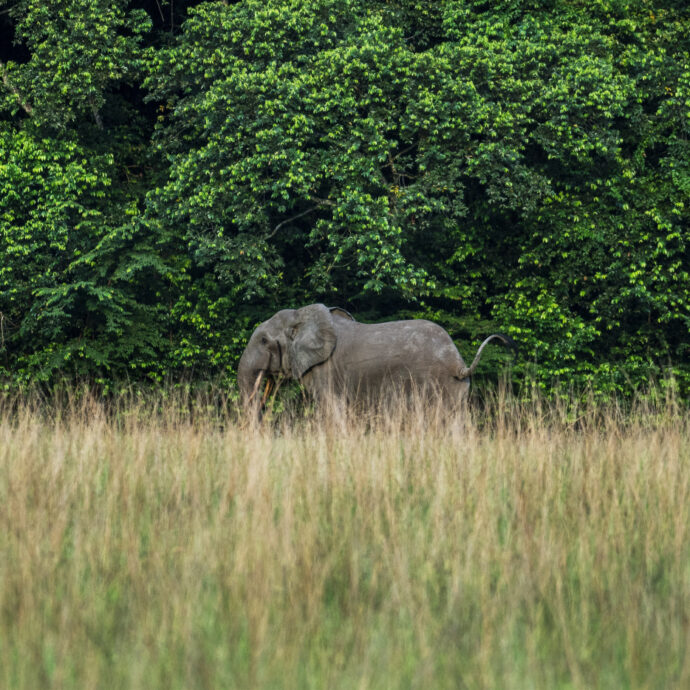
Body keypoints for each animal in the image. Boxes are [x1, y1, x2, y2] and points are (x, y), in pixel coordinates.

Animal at [237, 304, 515, 415]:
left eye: (263, 341)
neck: (302, 315)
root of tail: (459, 363)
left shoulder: (326, 371)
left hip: (435, 385)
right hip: (457, 390)